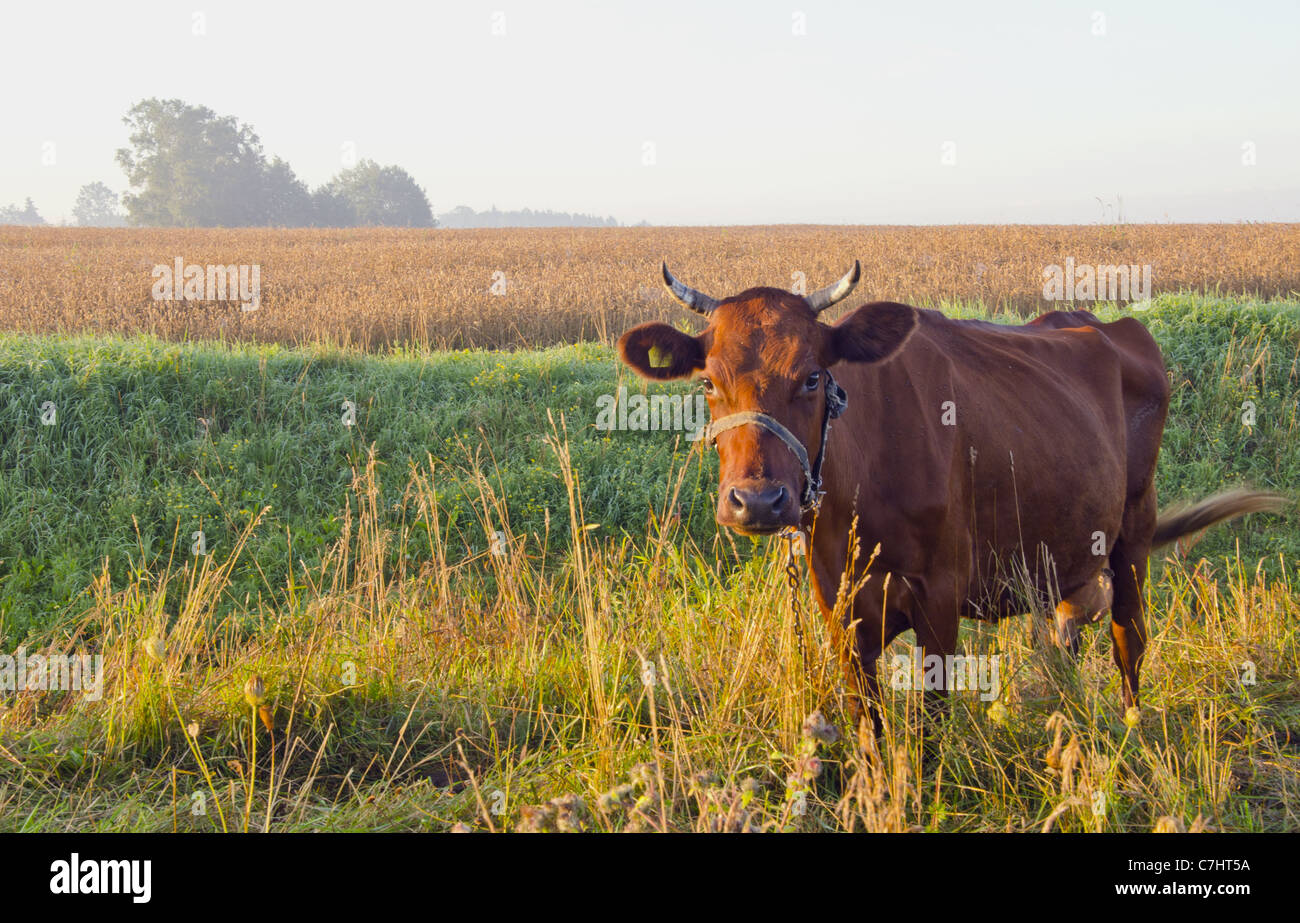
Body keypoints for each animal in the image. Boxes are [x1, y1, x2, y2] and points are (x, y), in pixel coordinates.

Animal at [621, 265, 1289, 738]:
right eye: (709, 383)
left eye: (812, 376)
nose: (758, 501)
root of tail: (1102, 322)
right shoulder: (838, 605)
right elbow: (868, 722)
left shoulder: (939, 593)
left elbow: (934, 720)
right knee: (1067, 631)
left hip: (1134, 529)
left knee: (1130, 637)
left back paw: (1130, 732)